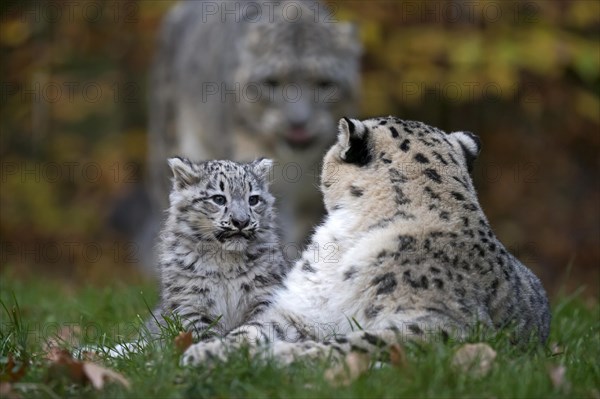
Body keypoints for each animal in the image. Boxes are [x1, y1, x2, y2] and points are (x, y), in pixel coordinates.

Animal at [180, 117, 552, 368]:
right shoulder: (306, 309)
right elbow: (255, 330)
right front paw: (205, 352)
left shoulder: (432, 325)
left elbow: (356, 343)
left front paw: (281, 356)